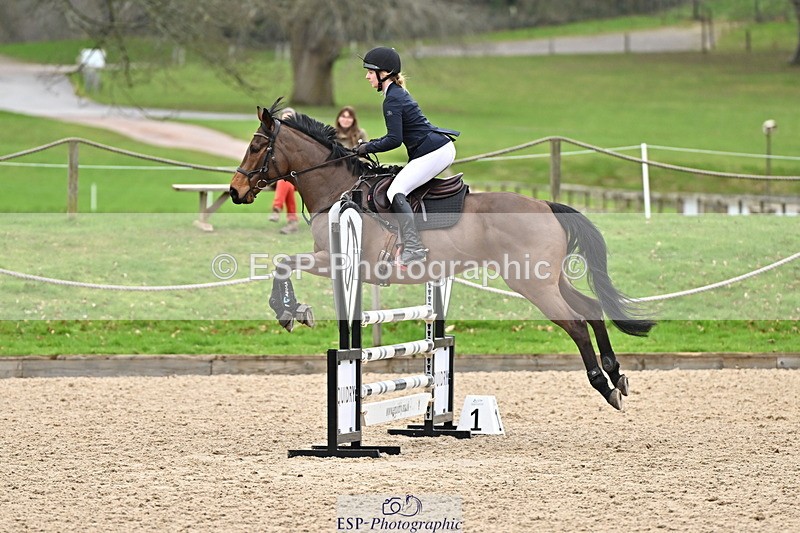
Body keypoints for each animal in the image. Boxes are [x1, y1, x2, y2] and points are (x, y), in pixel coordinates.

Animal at [229, 100, 656, 410]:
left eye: (256, 146)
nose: (235, 191)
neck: (337, 188)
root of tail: (546, 205)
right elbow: (282, 263)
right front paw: (293, 310)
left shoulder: (334, 260)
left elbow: (282, 263)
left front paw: (289, 312)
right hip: (550, 278)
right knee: (591, 308)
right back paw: (617, 374)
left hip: (532, 283)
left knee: (577, 323)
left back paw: (604, 385)